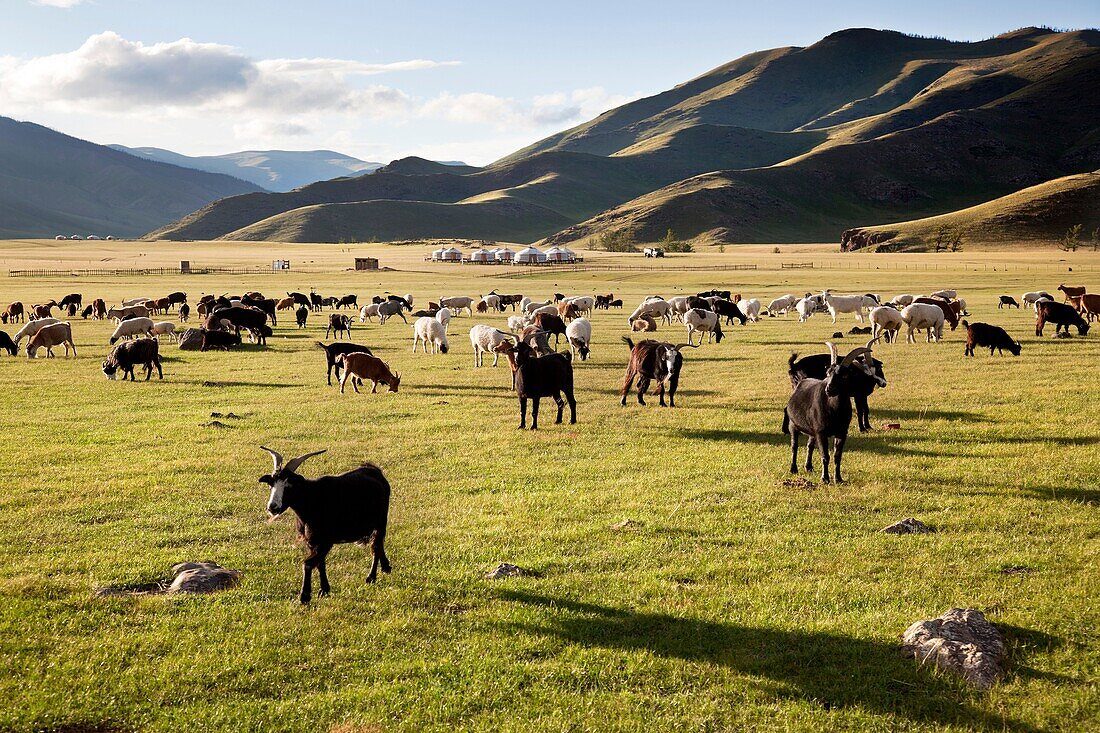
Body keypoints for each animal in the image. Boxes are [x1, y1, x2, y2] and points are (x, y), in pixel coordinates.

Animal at [258, 449, 393, 603]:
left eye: (289, 485)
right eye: (271, 484)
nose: (272, 507)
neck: (311, 500)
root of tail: (374, 470)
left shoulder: (325, 542)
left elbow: (308, 563)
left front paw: (305, 596)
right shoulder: (311, 542)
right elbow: (320, 563)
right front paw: (324, 590)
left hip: (381, 520)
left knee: (376, 546)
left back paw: (371, 577)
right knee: (378, 544)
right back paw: (386, 567)